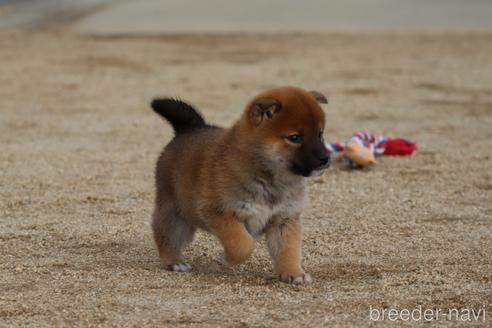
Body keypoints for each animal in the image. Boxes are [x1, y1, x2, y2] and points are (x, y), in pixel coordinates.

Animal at [150, 87, 326, 284]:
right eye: (295, 137)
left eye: (320, 134)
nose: (325, 158)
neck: (269, 178)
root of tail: (189, 128)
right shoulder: (219, 212)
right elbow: (242, 244)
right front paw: (227, 258)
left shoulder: (284, 219)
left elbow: (289, 250)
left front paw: (294, 273)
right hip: (175, 215)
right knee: (164, 235)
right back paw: (173, 262)